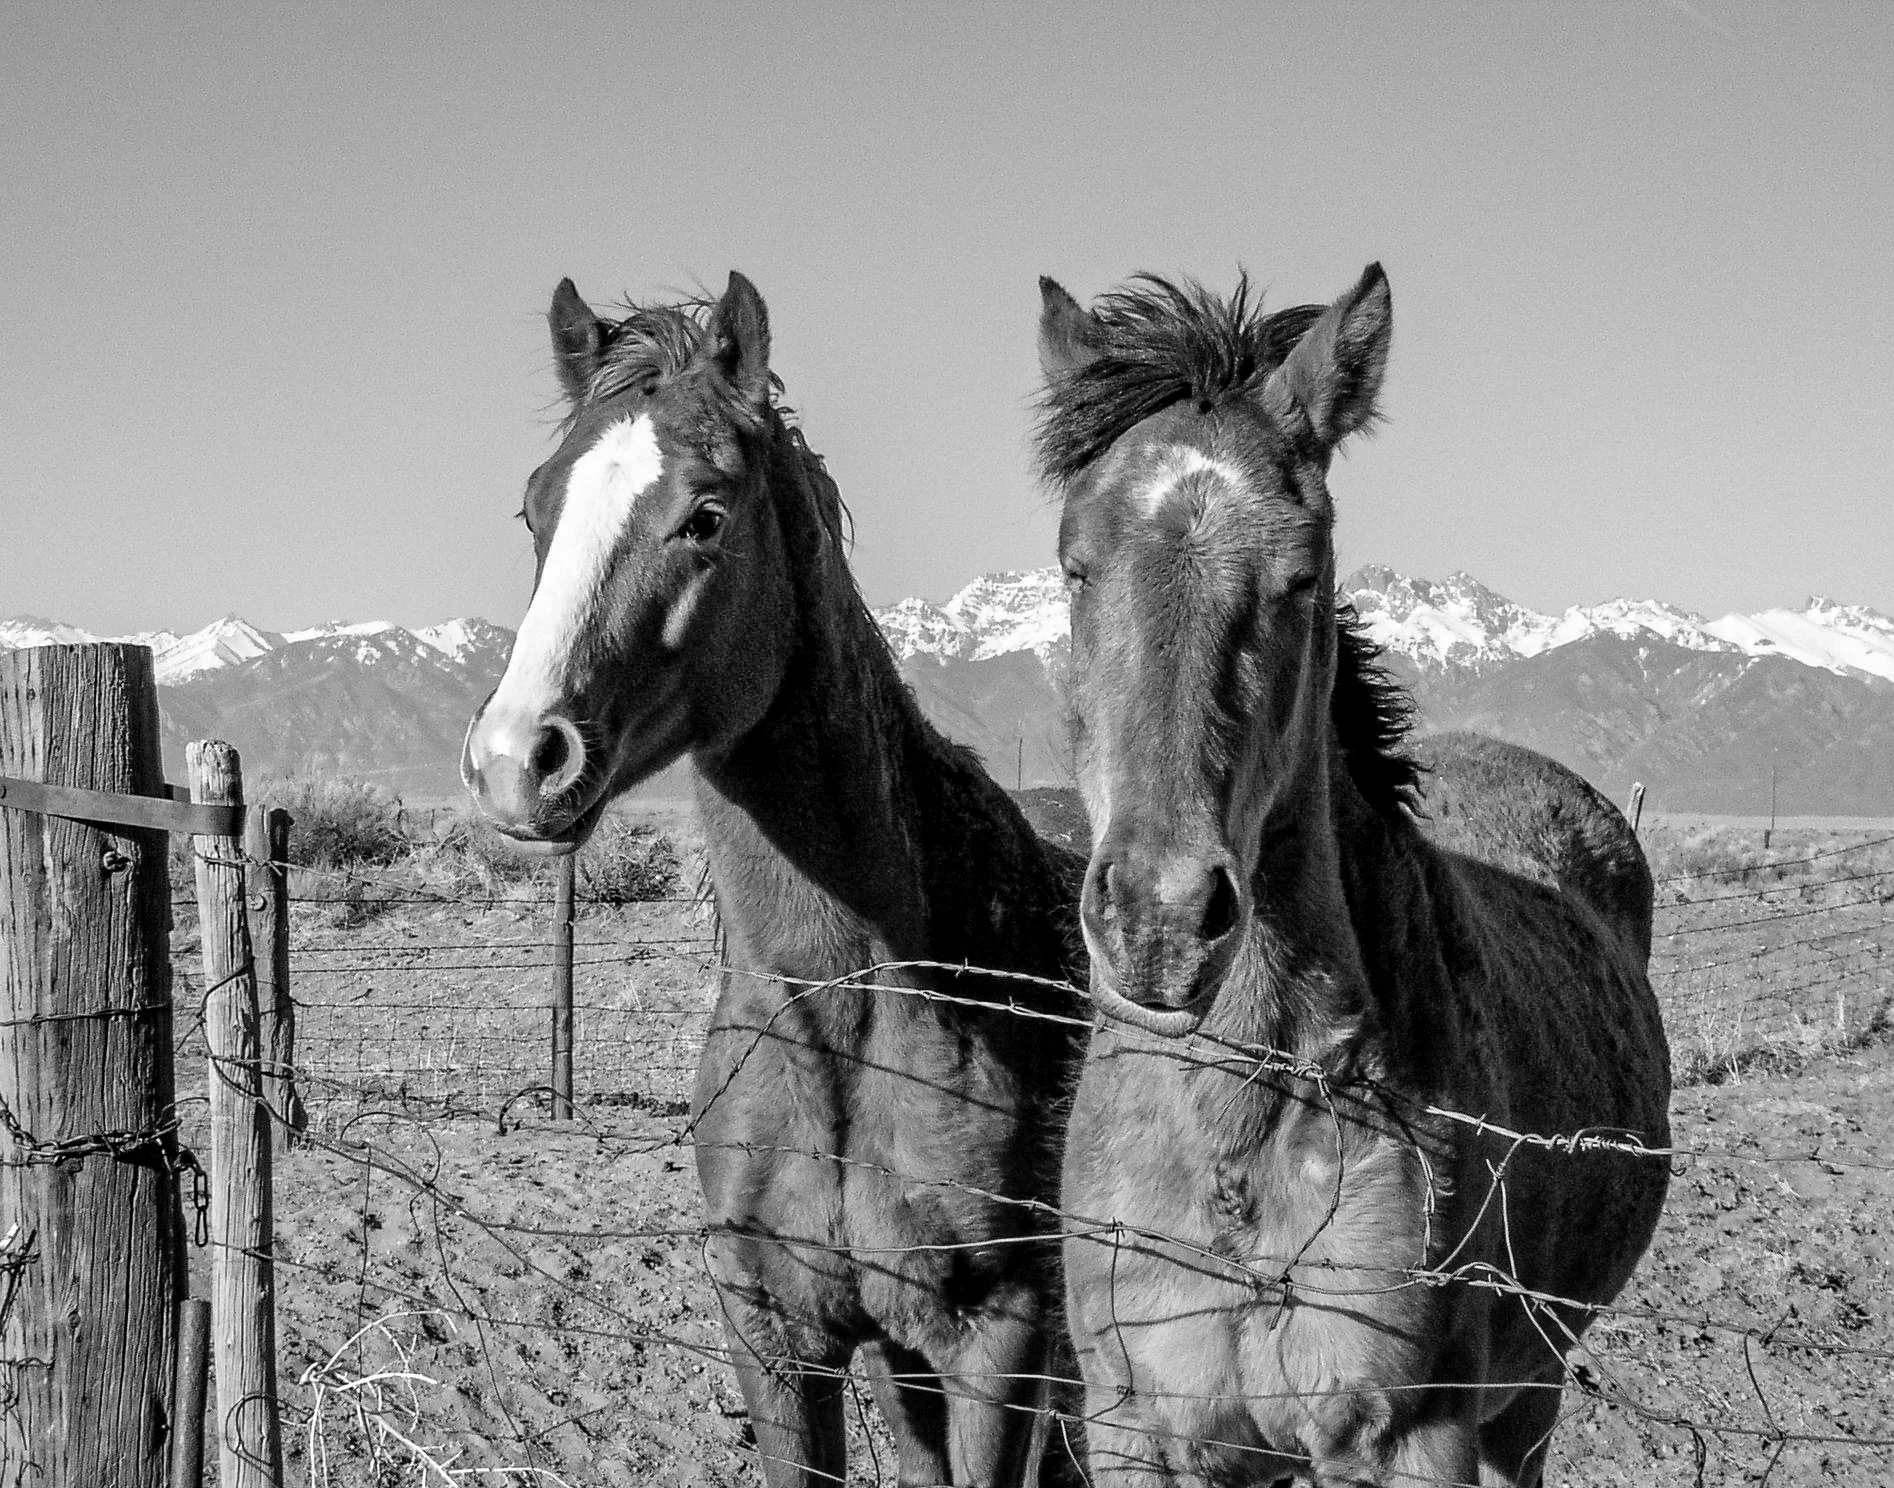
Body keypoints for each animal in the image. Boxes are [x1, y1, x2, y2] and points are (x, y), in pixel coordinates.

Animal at [462, 272, 1089, 1487]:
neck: (845, 1000)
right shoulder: (777, 1330)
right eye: (533, 511)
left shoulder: (999, 1341)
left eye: (705, 515)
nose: (518, 759)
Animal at [1031, 265, 1671, 1487]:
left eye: (1300, 576)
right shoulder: (1139, 1432)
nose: (1159, 921)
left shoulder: (1407, 1438)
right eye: (1075, 567)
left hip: (1526, 1398)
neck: (1236, 1132)